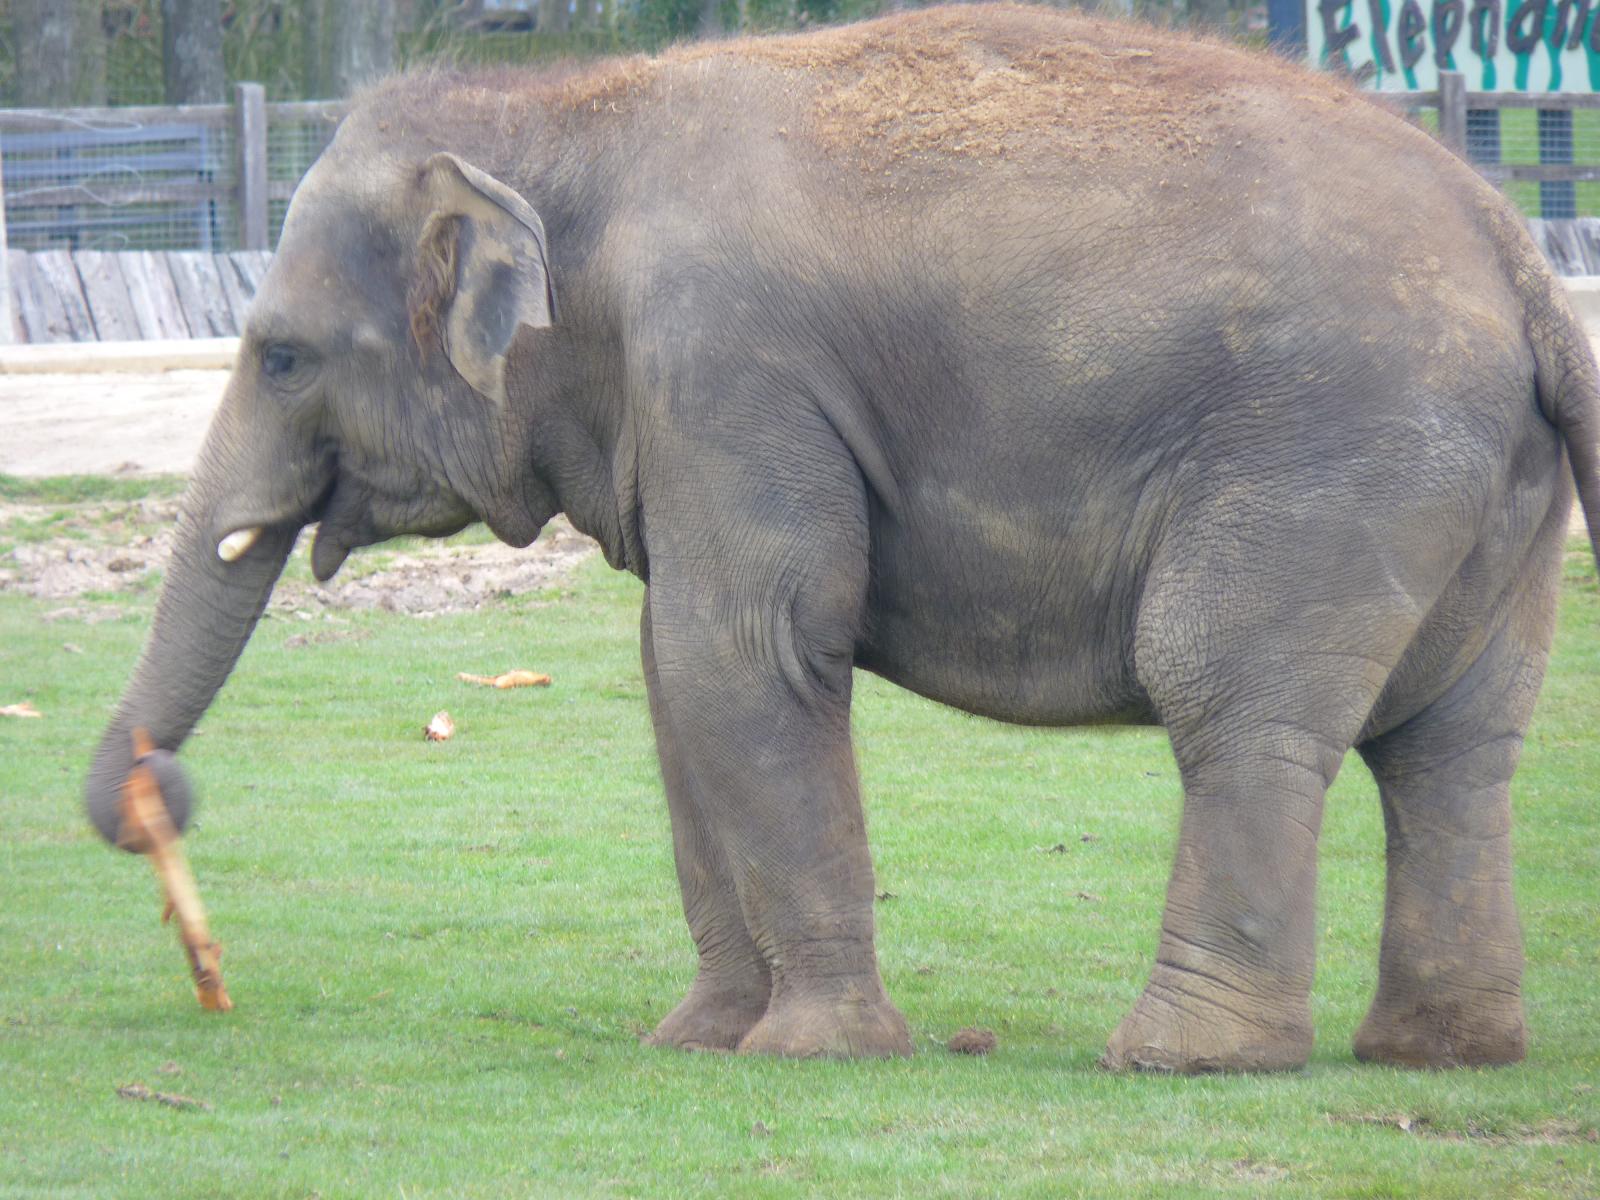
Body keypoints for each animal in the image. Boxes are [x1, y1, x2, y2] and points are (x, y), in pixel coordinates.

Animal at [85, 4, 1600, 1073]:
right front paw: (697, 1041)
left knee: (1232, 696)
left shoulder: (729, 367)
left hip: (1330, 455)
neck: (572, 115)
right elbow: (676, 677)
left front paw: (811, 1053)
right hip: (1483, 493)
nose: (158, 793)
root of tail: (1515, 252)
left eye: (280, 356)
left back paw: (1184, 1060)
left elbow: (743, 651)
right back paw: (1438, 1053)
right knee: (1455, 744)